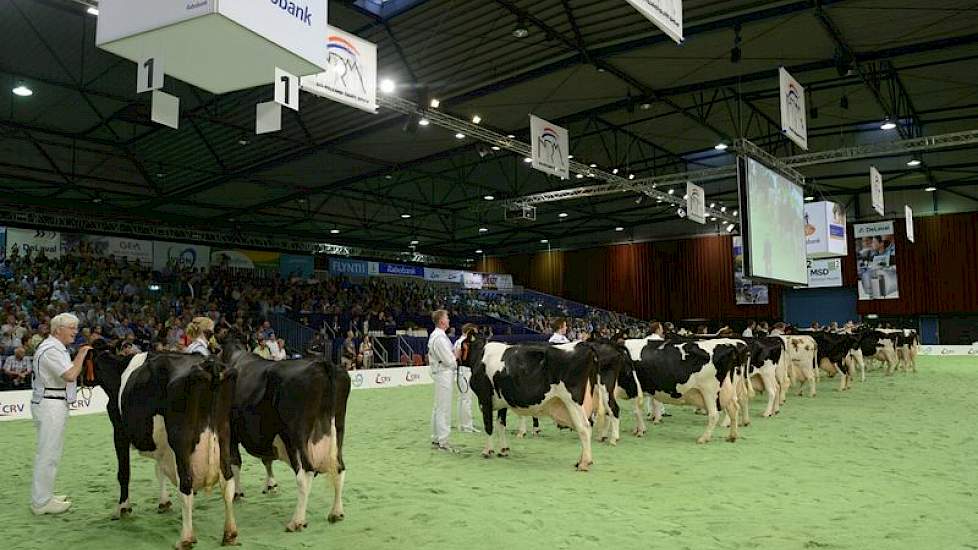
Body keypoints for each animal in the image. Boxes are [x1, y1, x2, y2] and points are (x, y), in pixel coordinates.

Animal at [87, 348, 240, 548]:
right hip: (224, 434)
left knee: (186, 484)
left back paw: (185, 538)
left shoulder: (119, 431)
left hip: (181, 439)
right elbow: (159, 471)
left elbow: (124, 473)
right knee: (227, 481)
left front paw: (123, 508)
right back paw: (230, 533)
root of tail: (211, 364)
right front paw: (164, 502)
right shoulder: (163, 445)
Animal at [218, 336, 350, 536]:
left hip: (296, 436)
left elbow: (236, 462)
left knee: (305, 473)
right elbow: (267, 459)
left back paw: (297, 521)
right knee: (339, 468)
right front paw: (271, 485)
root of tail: (322, 364)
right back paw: (336, 512)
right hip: (338, 428)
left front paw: (237, 493)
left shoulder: (231, 431)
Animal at [460, 338, 604, 472]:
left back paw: (584, 463)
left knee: (584, 427)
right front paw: (503, 450)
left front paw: (487, 451)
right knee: (587, 425)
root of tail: (585, 345)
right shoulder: (502, 402)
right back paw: (580, 461)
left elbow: (488, 425)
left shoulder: (484, 398)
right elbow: (501, 425)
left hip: (572, 401)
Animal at [612, 338, 744, 446]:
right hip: (726, 390)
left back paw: (703, 438)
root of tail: (729, 346)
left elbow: (636, 411)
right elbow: (639, 410)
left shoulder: (633, 388)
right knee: (734, 408)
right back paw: (732, 436)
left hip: (709, 391)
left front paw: (640, 431)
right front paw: (638, 429)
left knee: (714, 415)